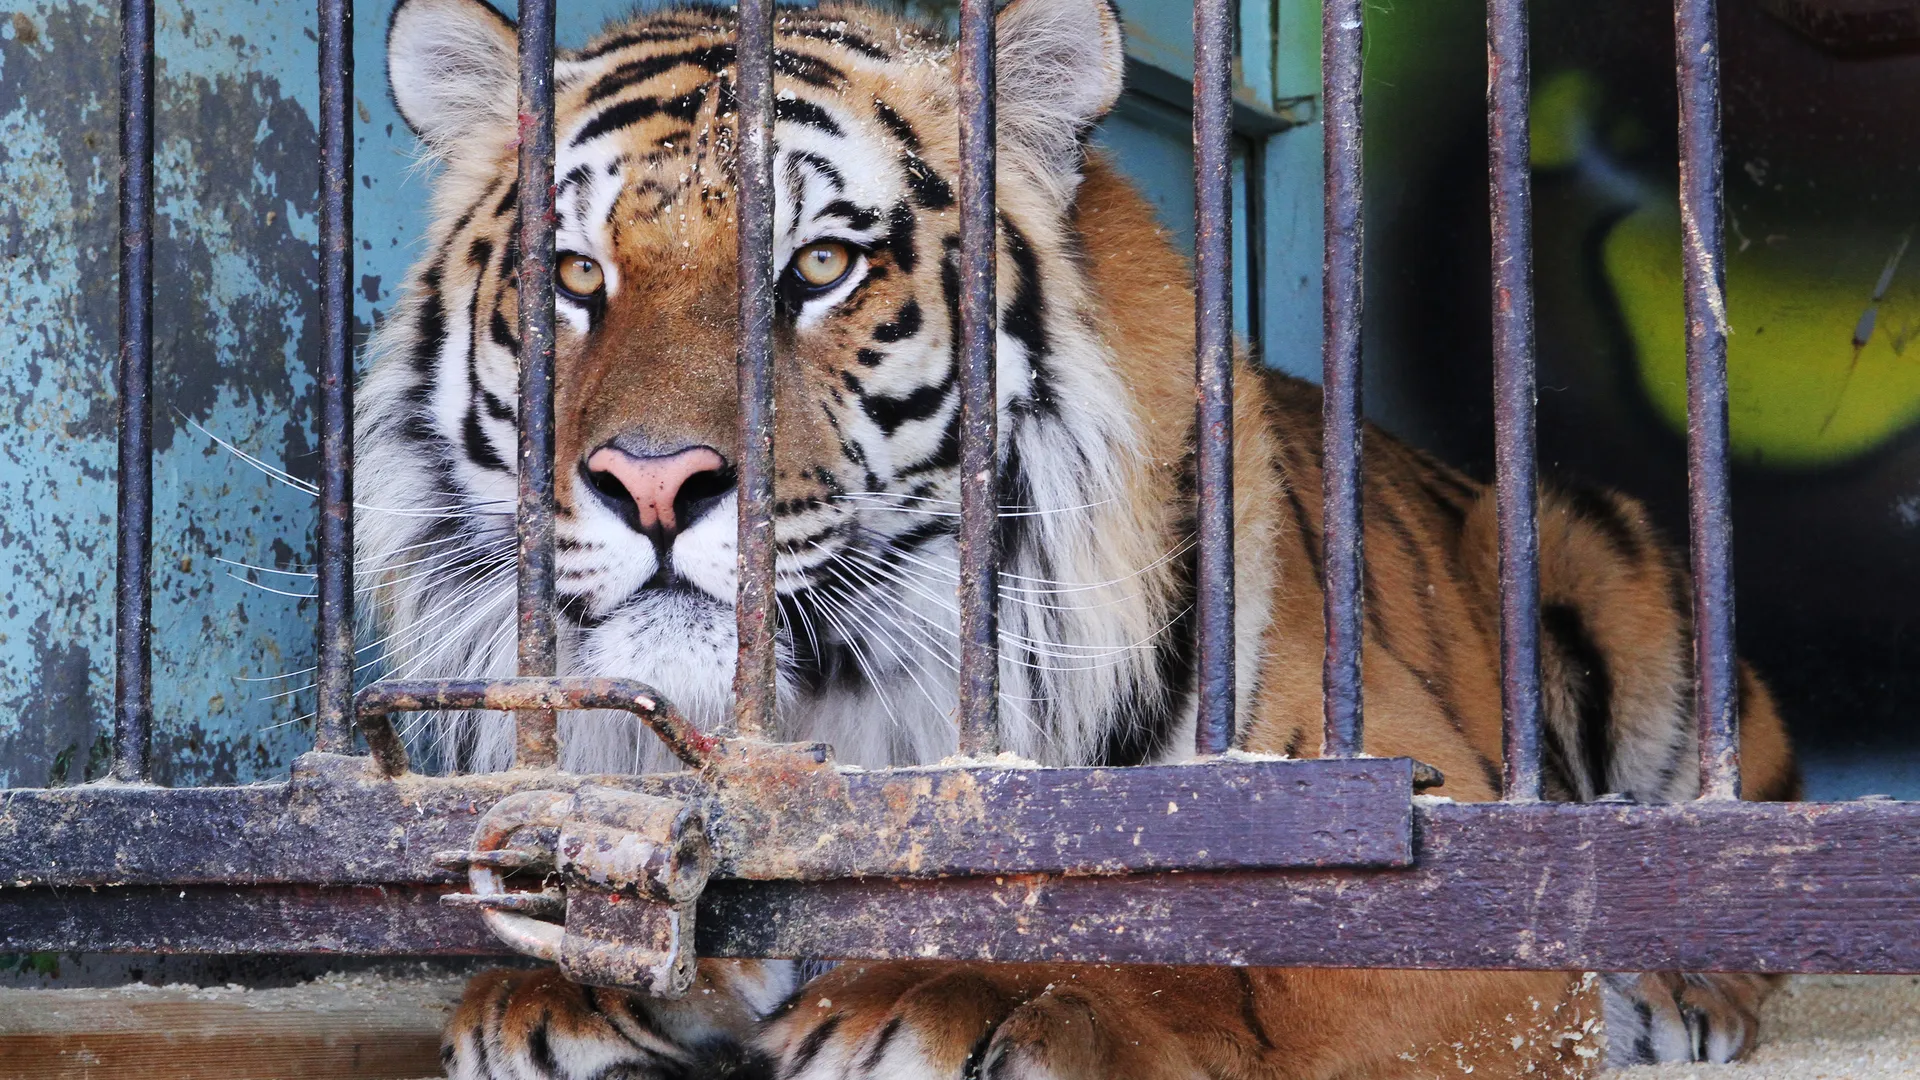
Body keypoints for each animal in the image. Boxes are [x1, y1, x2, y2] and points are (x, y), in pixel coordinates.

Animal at [356, 0, 1801, 1075]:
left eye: (820, 266)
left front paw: (967, 994)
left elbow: (1221, 970)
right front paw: (564, 991)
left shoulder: (1430, 874)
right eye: (575, 276)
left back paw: (1682, 994)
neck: (846, 703)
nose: (653, 486)